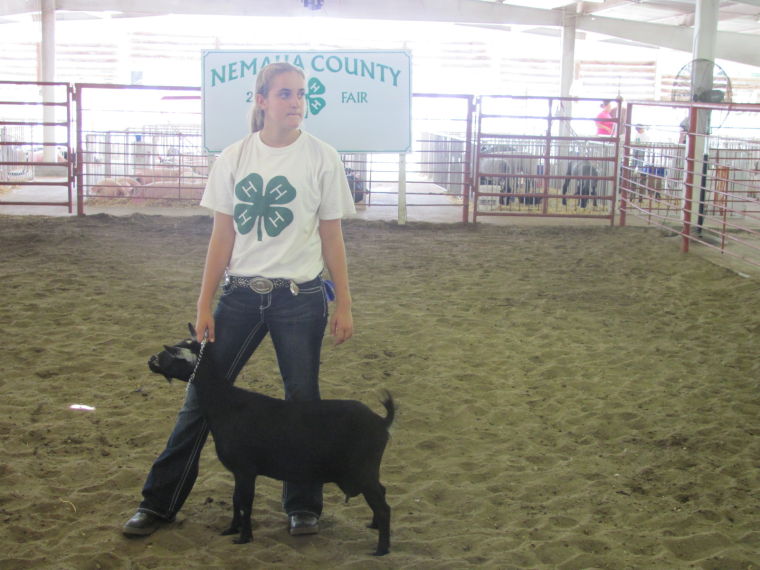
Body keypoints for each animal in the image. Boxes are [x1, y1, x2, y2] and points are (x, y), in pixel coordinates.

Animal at [150, 324, 398, 556]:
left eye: (170, 355)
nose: (151, 361)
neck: (225, 404)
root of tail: (381, 421)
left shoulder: (246, 470)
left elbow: (246, 504)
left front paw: (244, 537)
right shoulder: (238, 472)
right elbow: (235, 500)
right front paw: (231, 530)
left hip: (363, 471)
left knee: (383, 507)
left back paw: (381, 549)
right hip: (366, 473)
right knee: (382, 492)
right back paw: (374, 526)